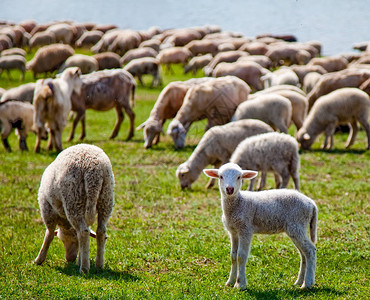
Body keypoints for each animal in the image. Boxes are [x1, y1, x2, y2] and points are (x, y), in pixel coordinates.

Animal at [35, 144, 115, 274]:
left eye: (62, 239)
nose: (70, 259)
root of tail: (93, 171)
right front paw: (80, 259)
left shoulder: (46, 208)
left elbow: (49, 234)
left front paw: (39, 260)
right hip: (106, 197)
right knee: (100, 231)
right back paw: (99, 265)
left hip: (73, 198)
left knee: (83, 232)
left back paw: (84, 269)